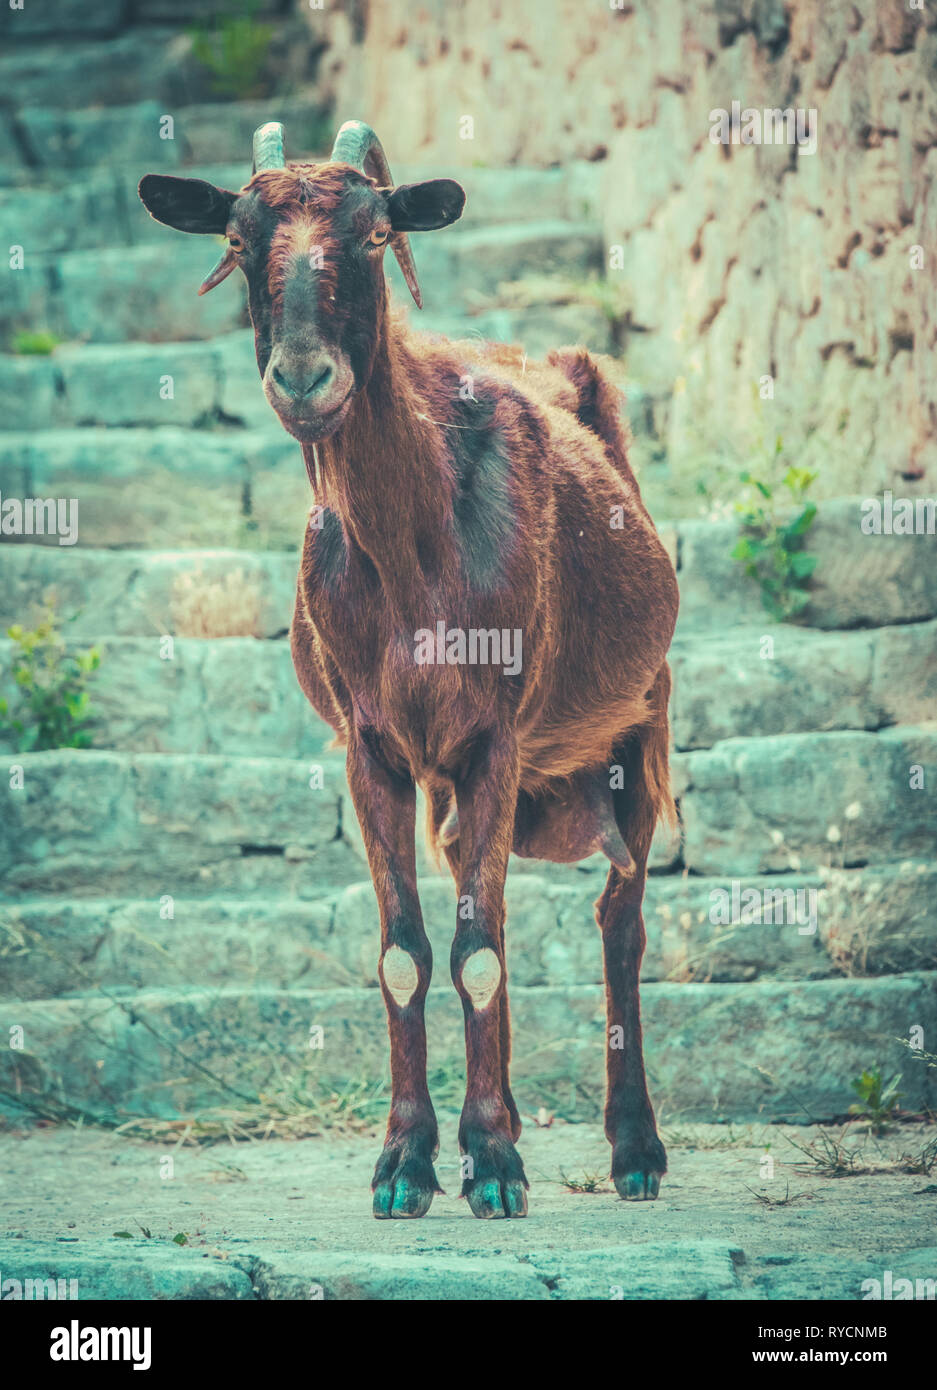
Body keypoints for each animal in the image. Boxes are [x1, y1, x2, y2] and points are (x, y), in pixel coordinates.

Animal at [139, 125, 675, 1223]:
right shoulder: (372, 748)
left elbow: (477, 955)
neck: (414, 547)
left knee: (620, 923)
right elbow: (407, 953)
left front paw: (497, 1167)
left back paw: (634, 1150)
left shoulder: (495, 737)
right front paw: (411, 1163)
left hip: (641, 724)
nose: (304, 378)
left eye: (378, 233)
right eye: (237, 237)